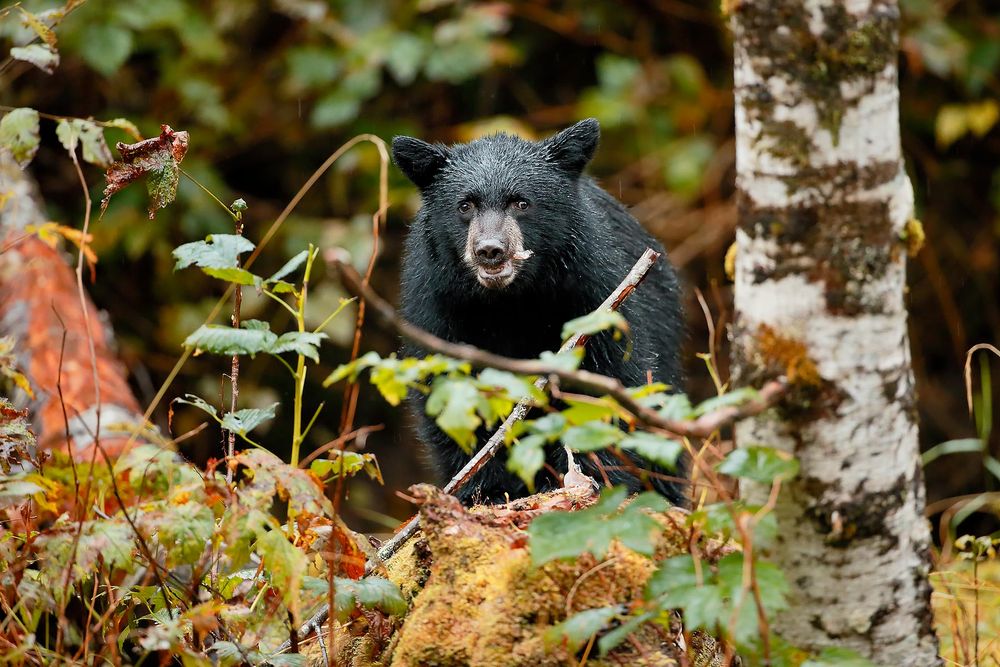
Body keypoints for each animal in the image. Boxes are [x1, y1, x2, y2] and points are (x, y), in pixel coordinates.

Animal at [392, 118, 687, 506]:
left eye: (521, 202)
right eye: (465, 205)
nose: (491, 251)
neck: (511, 302)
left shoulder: (593, 296)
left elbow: (609, 384)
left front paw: (597, 478)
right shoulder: (438, 310)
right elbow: (450, 398)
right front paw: (482, 491)